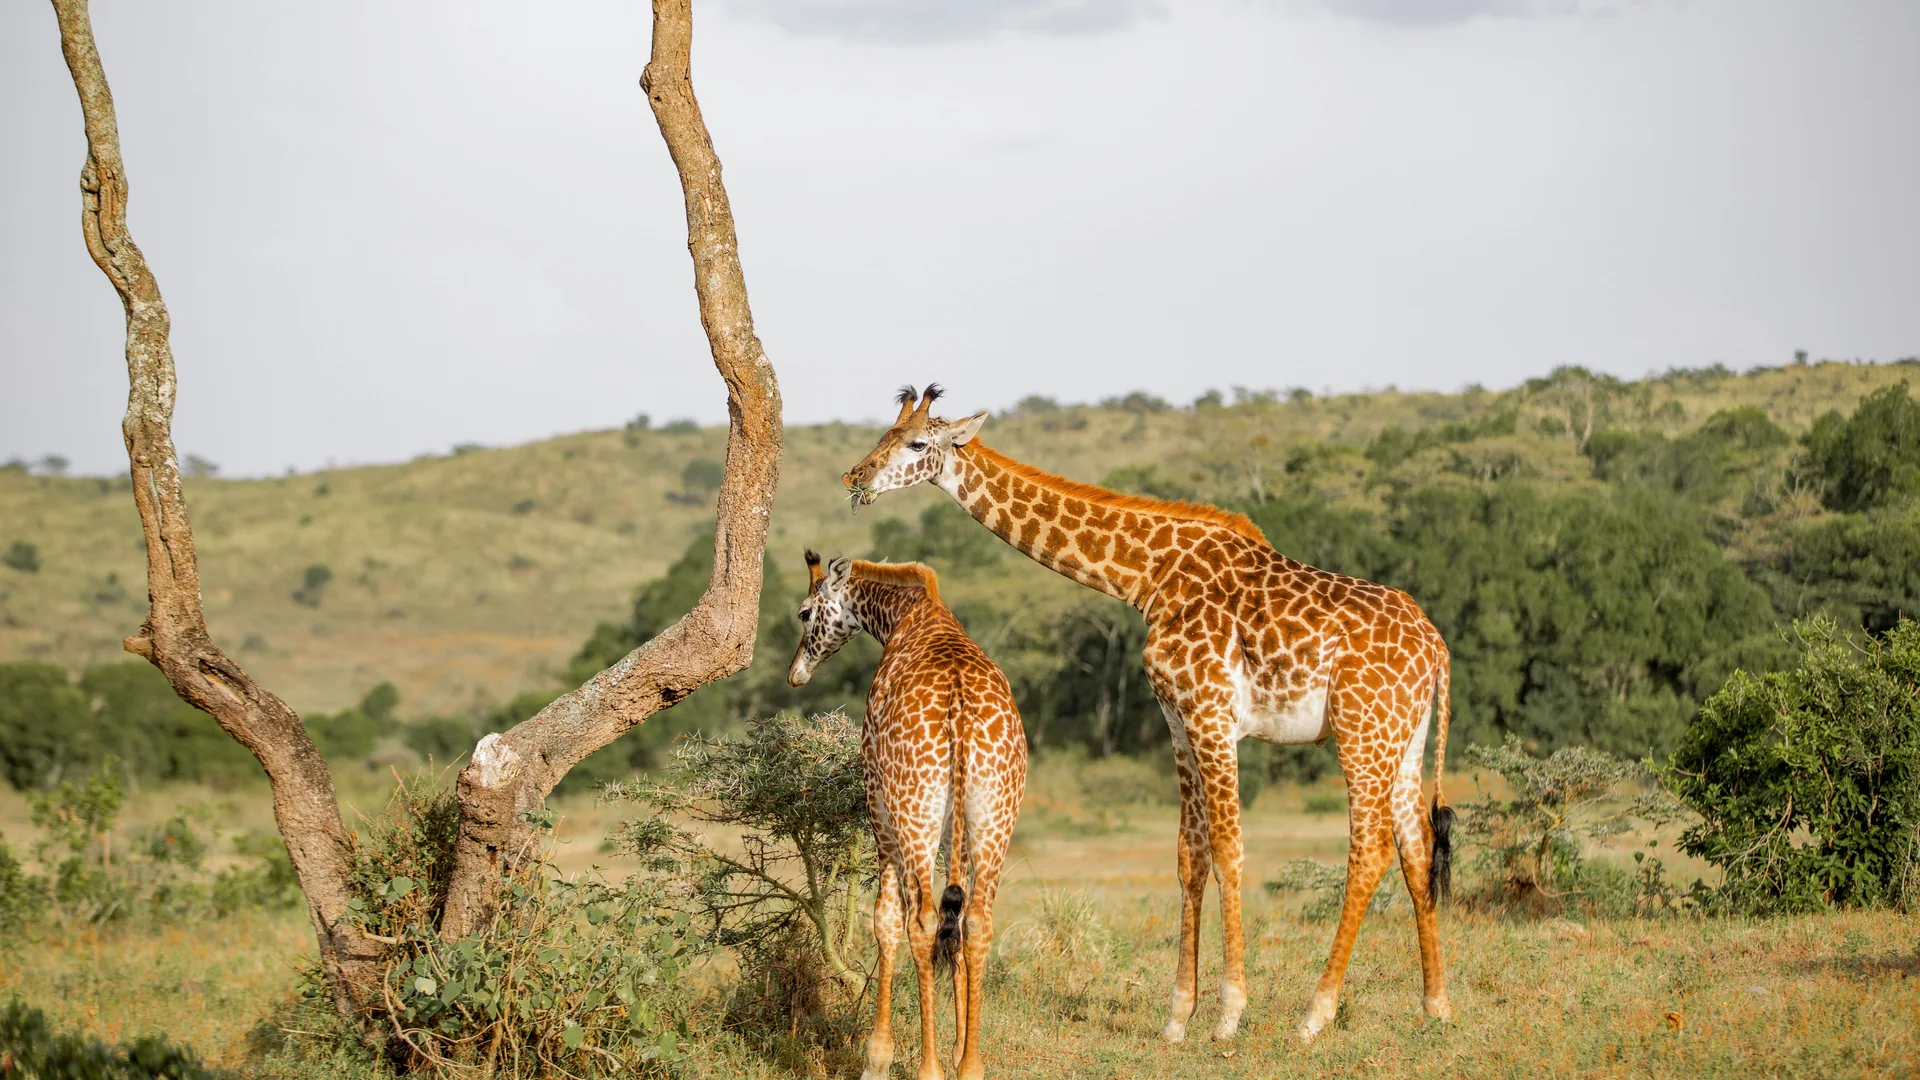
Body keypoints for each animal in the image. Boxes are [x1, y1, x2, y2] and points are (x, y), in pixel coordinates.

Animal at [787, 550, 1028, 1080]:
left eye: (804, 613)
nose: (795, 673)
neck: (905, 616)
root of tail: (959, 713)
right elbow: (954, 921)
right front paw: (959, 1049)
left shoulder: (876, 802)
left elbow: (885, 917)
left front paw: (877, 1057)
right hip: (995, 814)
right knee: (976, 921)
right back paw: (970, 1065)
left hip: (912, 811)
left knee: (920, 920)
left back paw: (927, 1068)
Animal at [839, 386, 1454, 1043]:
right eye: (883, 434)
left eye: (917, 444)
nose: (856, 478)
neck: (1149, 576)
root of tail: (1436, 645)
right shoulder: (1177, 718)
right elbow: (1191, 855)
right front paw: (1178, 1015)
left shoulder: (1212, 711)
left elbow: (1231, 850)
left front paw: (1229, 1012)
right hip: (1404, 738)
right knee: (1416, 847)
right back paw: (1435, 1003)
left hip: (1361, 732)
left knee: (1370, 851)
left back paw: (1316, 1013)